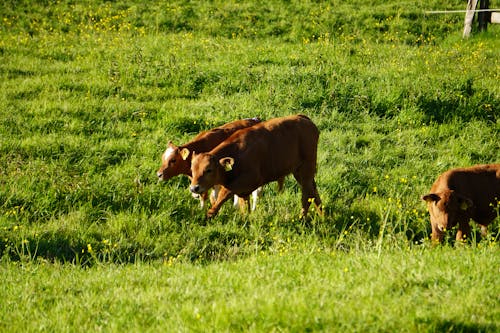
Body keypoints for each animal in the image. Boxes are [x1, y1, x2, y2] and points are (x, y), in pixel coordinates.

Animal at [187, 114, 320, 218]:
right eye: (192, 170)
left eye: (209, 170)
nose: (194, 188)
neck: (237, 152)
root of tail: (303, 118)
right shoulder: (244, 192)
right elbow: (244, 208)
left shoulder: (251, 180)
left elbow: (225, 192)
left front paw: (211, 213)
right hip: (299, 172)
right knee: (314, 193)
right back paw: (322, 215)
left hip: (306, 171)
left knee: (307, 196)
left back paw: (302, 218)